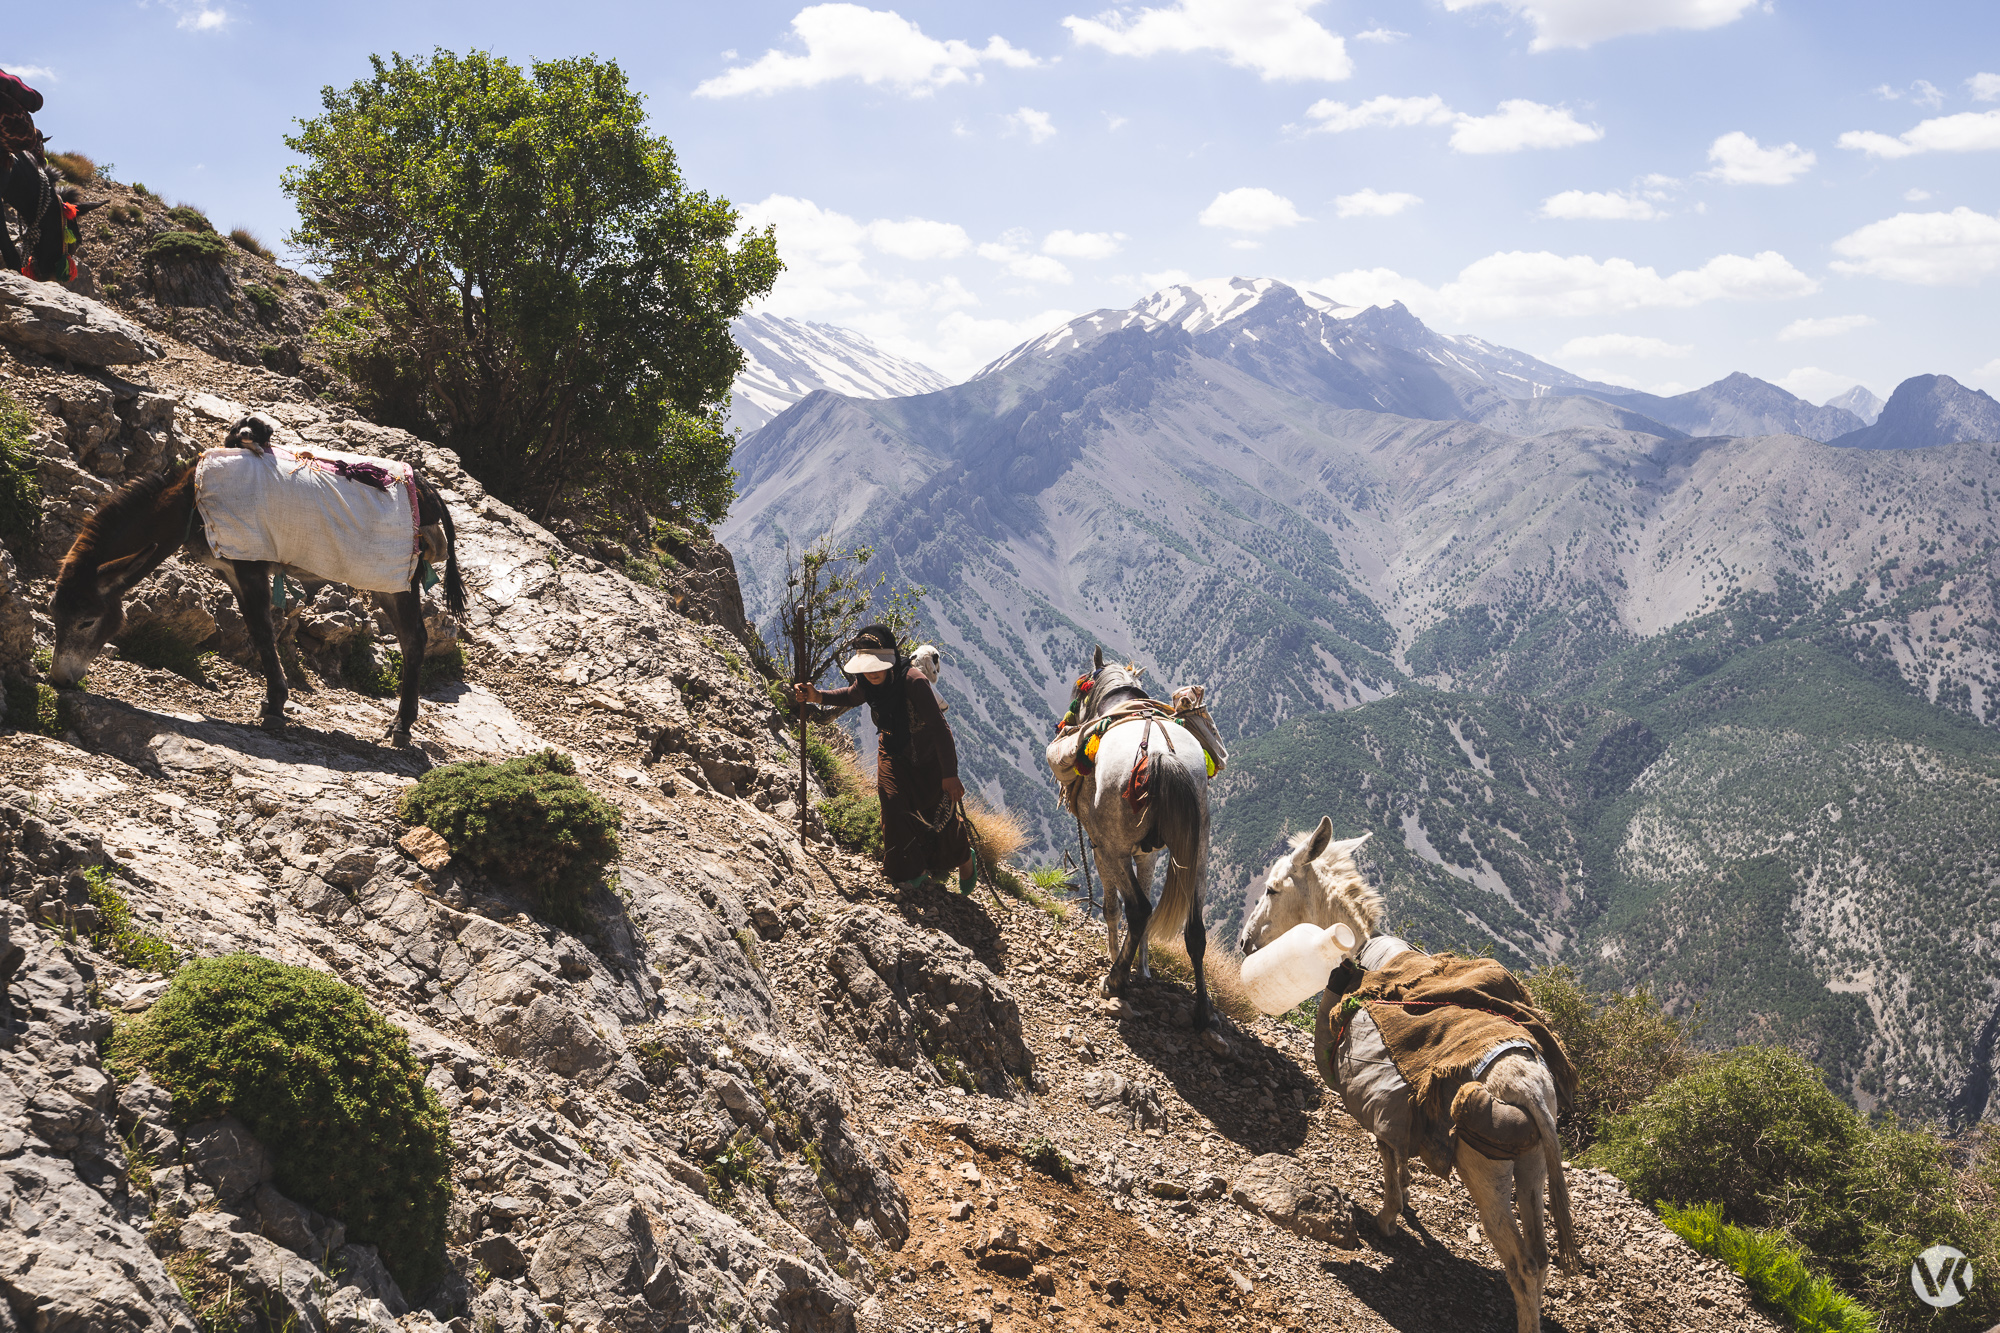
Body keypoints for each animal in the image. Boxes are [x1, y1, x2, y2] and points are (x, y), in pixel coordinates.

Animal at [49, 416, 467, 746]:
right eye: (55, 616)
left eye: (87, 621)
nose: (58, 680)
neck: (190, 503)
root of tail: (428, 490)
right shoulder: (234, 569)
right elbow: (257, 629)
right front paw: (274, 701)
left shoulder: (250, 565)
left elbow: (264, 632)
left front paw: (275, 707)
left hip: (396, 579)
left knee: (414, 640)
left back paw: (402, 726)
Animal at [1071, 645, 1212, 1031]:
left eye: (1080, 690)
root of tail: (1159, 754)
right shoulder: (1148, 854)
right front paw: (1144, 967)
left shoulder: (1101, 848)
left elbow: (1112, 907)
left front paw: (1117, 959)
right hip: (1199, 853)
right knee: (1195, 930)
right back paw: (1203, 1011)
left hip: (1114, 849)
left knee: (1138, 908)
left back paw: (1114, 980)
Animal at [1239, 816, 1579, 1333]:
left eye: (1273, 889)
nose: (1244, 942)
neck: (1356, 955)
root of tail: (1527, 1085)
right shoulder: (1406, 1105)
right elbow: (1400, 1150)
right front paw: (1407, 1201)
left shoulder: (1385, 1097)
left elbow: (1387, 1153)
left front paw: (1388, 1217)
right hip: (1533, 1165)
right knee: (1539, 1260)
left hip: (1486, 1172)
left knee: (1521, 1265)